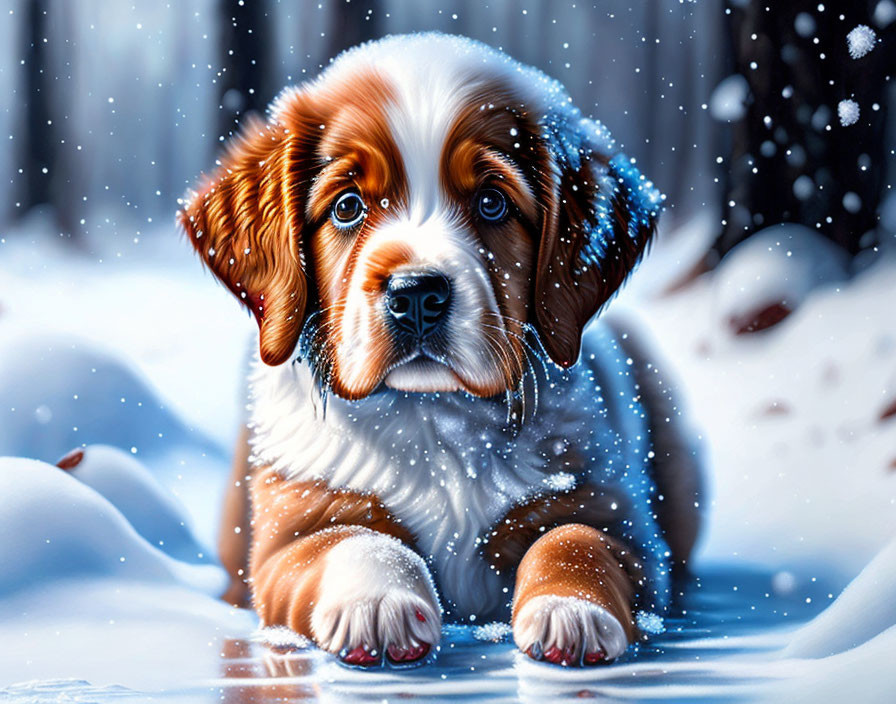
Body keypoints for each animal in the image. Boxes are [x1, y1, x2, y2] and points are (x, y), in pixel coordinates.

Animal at [180, 33, 700, 668]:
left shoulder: (619, 520)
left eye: (492, 204)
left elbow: (574, 541)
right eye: (347, 206)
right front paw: (379, 608)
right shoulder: (289, 534)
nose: (416, 295)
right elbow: (356, 539)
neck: (438, 417)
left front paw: (570, 613)